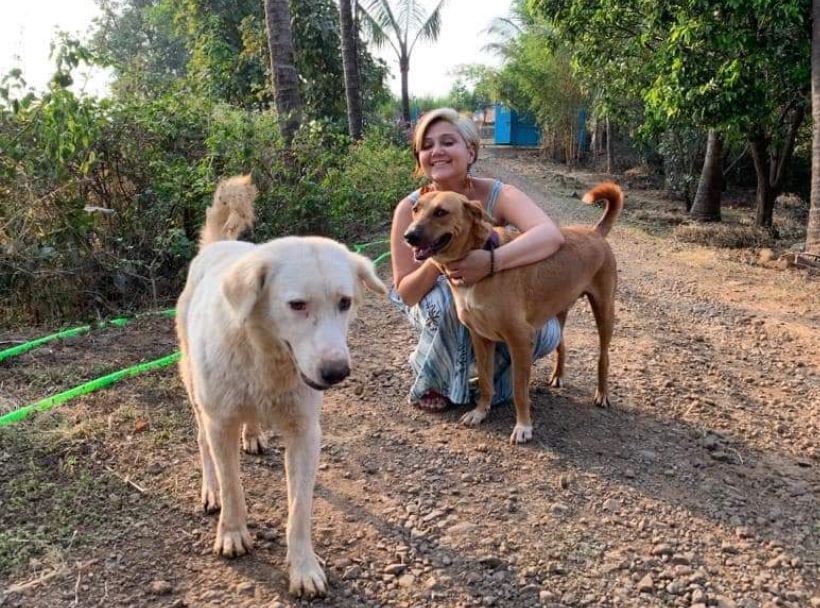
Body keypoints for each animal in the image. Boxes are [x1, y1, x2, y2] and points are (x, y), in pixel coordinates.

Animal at [176, 176, 388, 600]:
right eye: (297, 305)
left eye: (345, 302)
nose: (337, 372)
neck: (266, 359)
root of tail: (216, 247)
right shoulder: (220, 423)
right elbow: (233, 487)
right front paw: (233, 533)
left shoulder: (306, 433)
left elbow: (300, 510)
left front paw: (304, 568)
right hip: (194, 390)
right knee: (203, 442)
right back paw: (210, 487)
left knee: (250, 421)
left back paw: (253, 435)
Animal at [404, 183, 620, 444]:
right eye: (415, 209)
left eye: (441, 212)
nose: (409, 236)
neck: (479, 254)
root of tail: (595, 232)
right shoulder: (480, 337)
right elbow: (486, 380)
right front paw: (480, 412)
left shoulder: (520, 340)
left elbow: (519, 391)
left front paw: (523, 426)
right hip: (559, 308)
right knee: (561, 343)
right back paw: (558, 375)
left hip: (604, 311)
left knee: (603, 356)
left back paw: (602, 393)